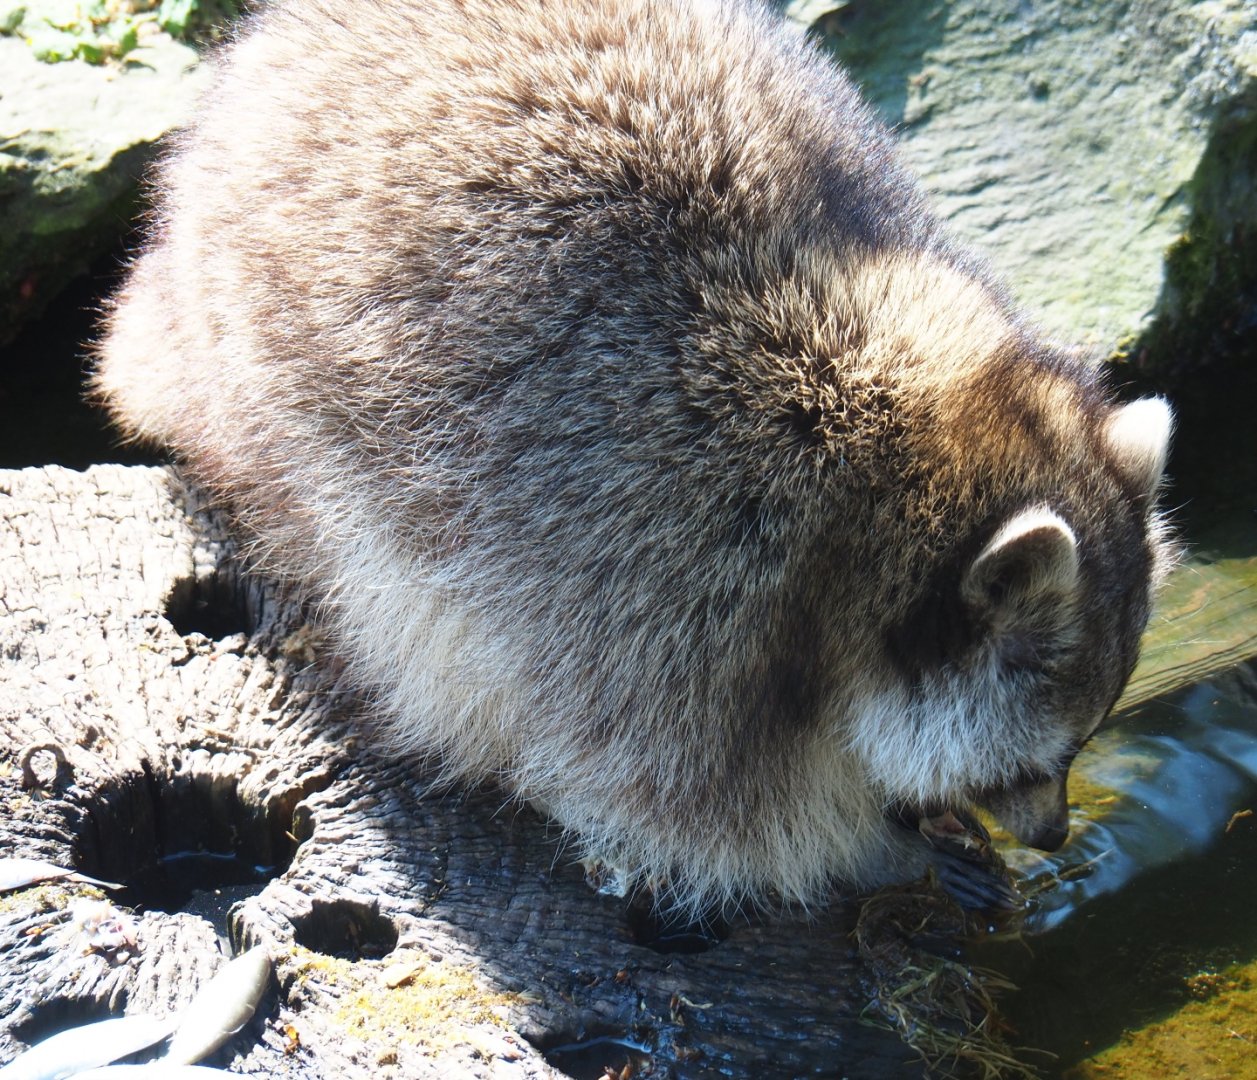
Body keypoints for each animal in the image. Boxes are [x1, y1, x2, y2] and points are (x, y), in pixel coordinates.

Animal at [93, 0, 1175, 914]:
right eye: (1038, 762)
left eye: (1082, 745)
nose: (1058, 837)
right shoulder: (665, 598)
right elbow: (684, 816)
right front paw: (873, 849)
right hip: (260, 376)